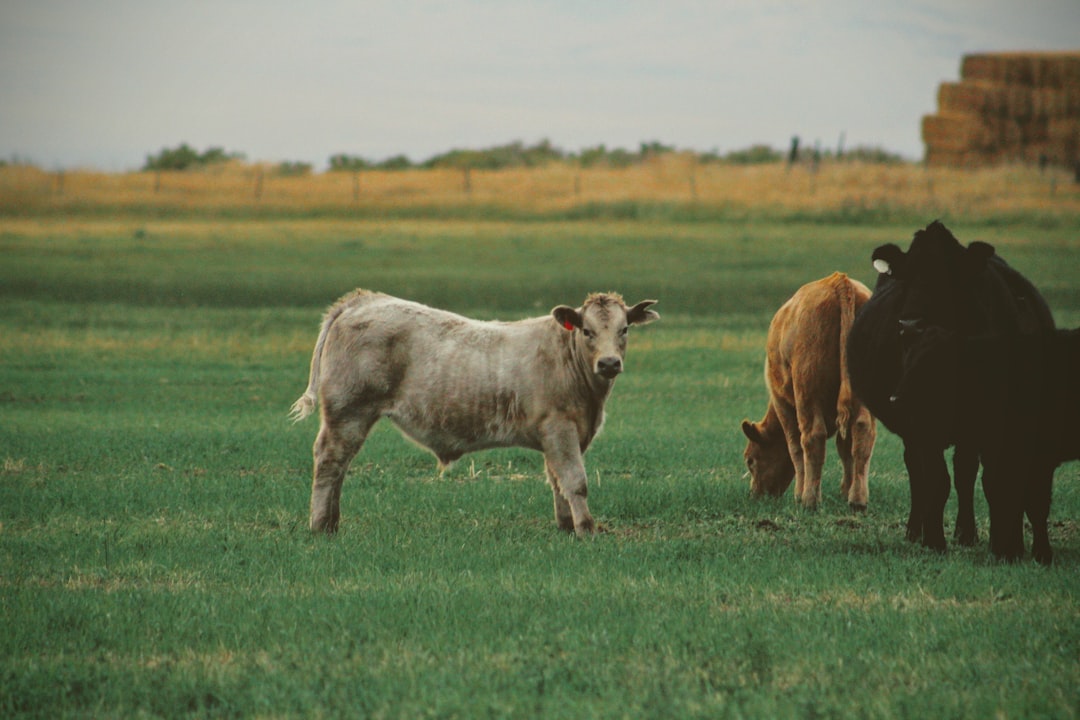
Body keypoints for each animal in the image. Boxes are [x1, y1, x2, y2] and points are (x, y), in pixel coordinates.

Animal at [289, 291, 656, 535]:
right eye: (587, 331)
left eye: (624, 329)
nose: (609, 363)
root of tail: (362, 300)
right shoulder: (560, 427)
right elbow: (575, 481)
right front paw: (587, 529)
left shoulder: (560, 435)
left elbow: (557, 481)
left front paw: (566, 526)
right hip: (347, 412)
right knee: (329, 462)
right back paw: (320, 526)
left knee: (339, 467)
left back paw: (333, 523)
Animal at [743, 272, 876, 511]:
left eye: (751, 460)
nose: (756, 494)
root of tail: (839, 281)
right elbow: (845, 448)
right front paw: (845, 491)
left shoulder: (783, 404)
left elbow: (795, 446)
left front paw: (798, 493)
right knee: (863, 430)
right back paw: (858, 500)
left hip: (807, 392)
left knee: (812, 437)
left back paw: (809, 500)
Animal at [842, 220, 1054, 561]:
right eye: (907, 277)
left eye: (947, 278)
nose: (910, 324)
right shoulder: (922, 422)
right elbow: (936, 481)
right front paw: (933, 541)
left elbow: (987, 480)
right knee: (918, 471)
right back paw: (917, 530)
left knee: (965, 472)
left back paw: (966, 533)